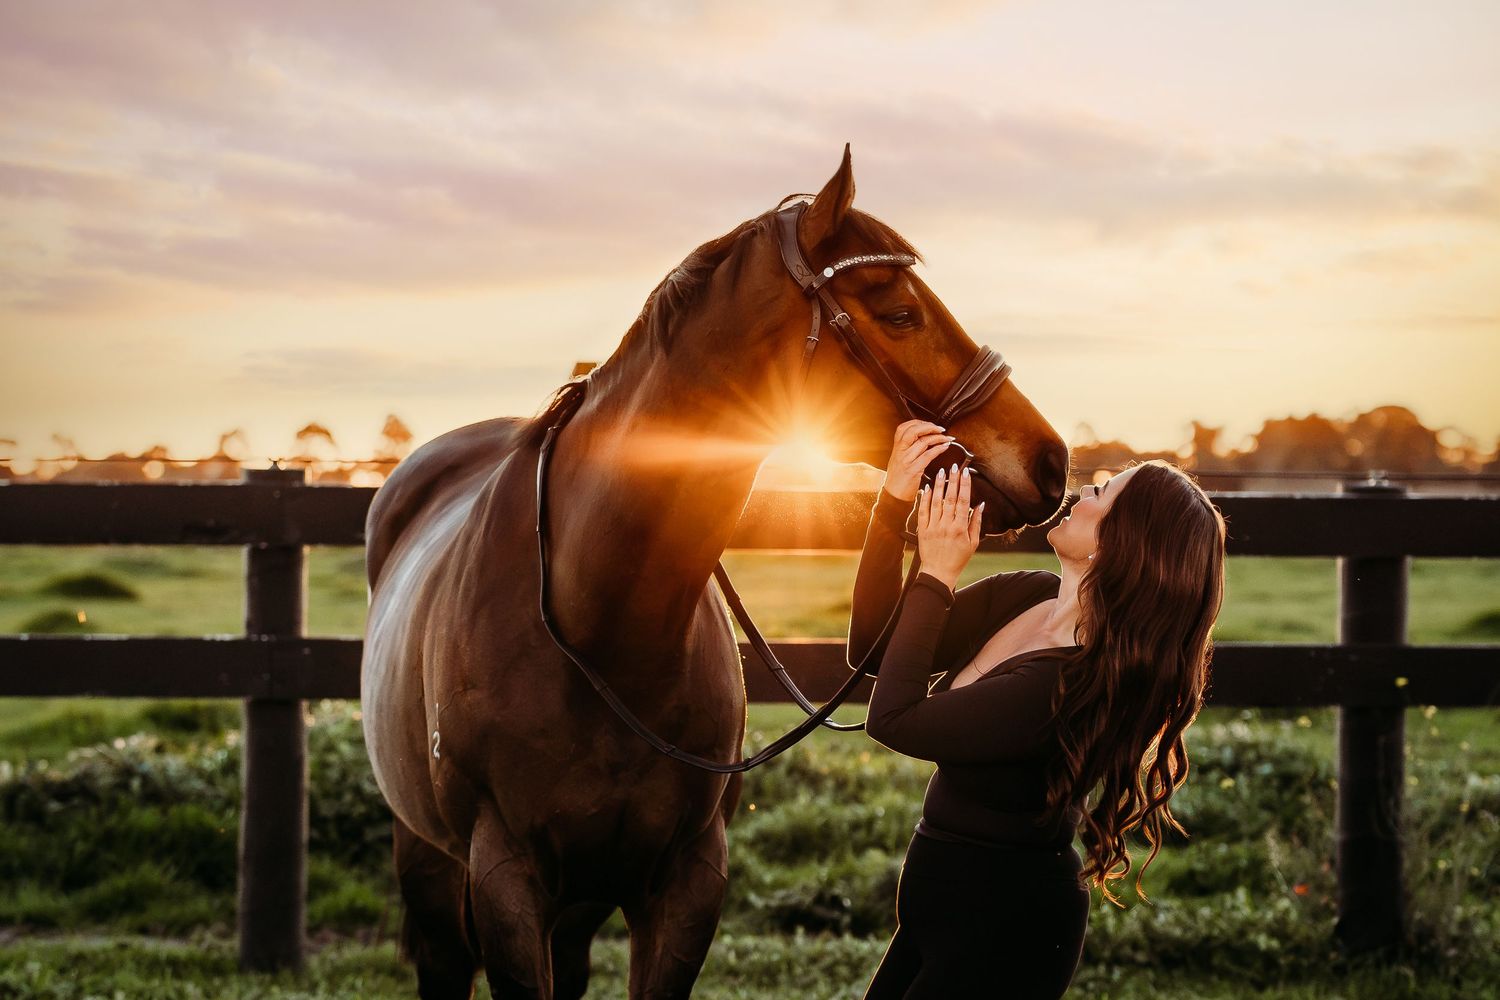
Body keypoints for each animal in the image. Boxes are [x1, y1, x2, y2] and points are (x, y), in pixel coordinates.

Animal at [360, 146, 1069, 999]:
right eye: (900, 313)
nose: (1051, 460)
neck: (603, 627)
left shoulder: (688, 883)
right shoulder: (505, 884)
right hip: (431, 868)